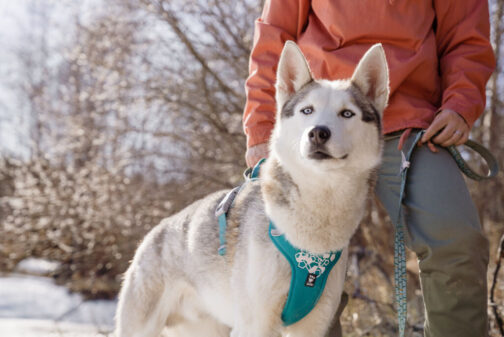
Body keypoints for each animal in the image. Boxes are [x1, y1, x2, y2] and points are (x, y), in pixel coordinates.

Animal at [115, 42, 390, 336]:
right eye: (307, 111)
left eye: (347, 113)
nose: (318, 132)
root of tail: (152, 234)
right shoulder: (254, 324)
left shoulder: (315, 325)